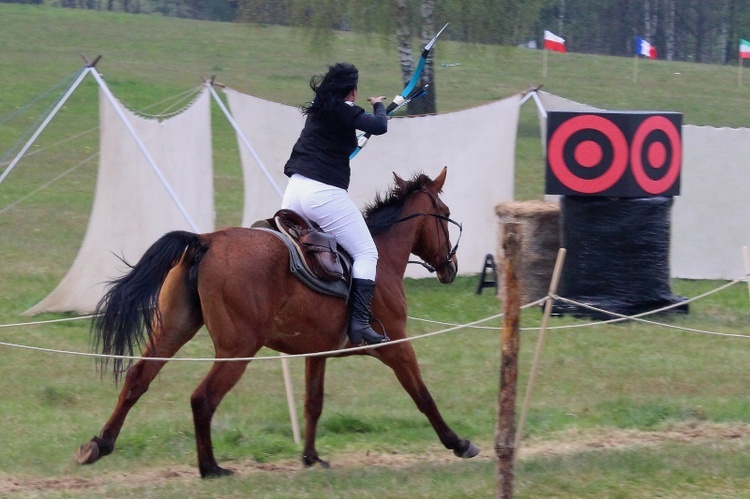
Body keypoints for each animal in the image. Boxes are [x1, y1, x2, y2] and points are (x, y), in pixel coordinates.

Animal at [73, 167, 478, 476]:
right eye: (444, 211)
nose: (451, 268)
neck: (382, 257)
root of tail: (205, 241)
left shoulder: (317, 354)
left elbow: (313, 403)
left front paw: (311, 458)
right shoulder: (396, 346)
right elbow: (423, 395)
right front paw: (458, 443)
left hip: (173, 331)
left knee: (137, 379)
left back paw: (99, 445)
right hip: (237, 350)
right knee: (202, 398)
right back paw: (210, 468)